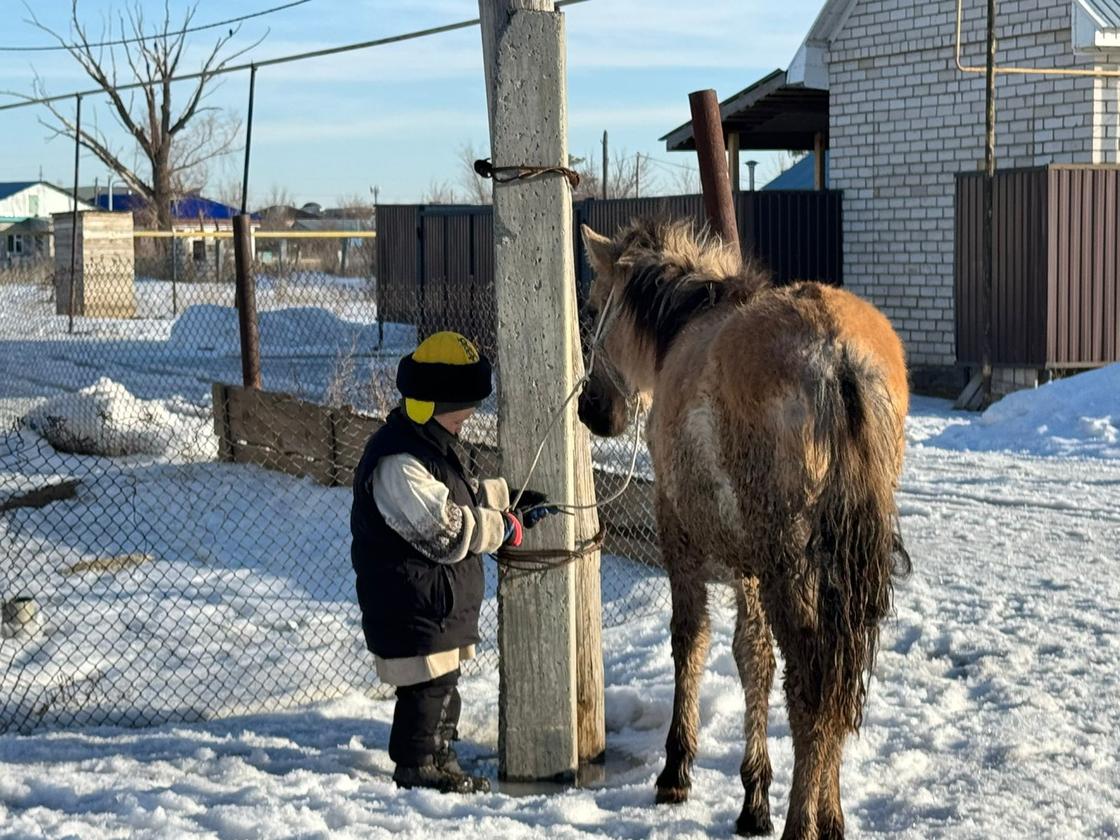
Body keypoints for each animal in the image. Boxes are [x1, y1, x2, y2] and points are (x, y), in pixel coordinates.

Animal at [577, 218, 909, 840]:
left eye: (591, 309)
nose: (593, 410)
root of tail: (837, 357)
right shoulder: (746, 564)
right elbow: (753, 657)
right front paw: (754, 795)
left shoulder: (680, 532)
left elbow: (693, 640)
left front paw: (677, 769)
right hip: (838, 561)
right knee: (839, 682)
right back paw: (831, 816)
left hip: (789, 556)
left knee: (810, 687)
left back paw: (802, 823)